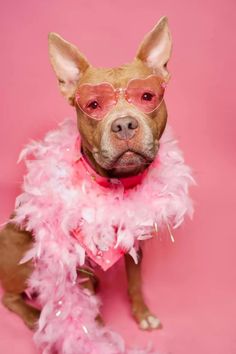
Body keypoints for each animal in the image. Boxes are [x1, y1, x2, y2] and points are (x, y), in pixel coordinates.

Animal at [0, 15, 172, 332]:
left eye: (147, 96)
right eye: (93, 105)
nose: (124, 124)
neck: (114, 186)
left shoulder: (134, 244)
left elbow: (135, 282)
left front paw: (142, 314)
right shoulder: (72, 255)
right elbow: (85, 299)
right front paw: (95, 330)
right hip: (22, 255)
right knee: (11, 298)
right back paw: (34, 317)